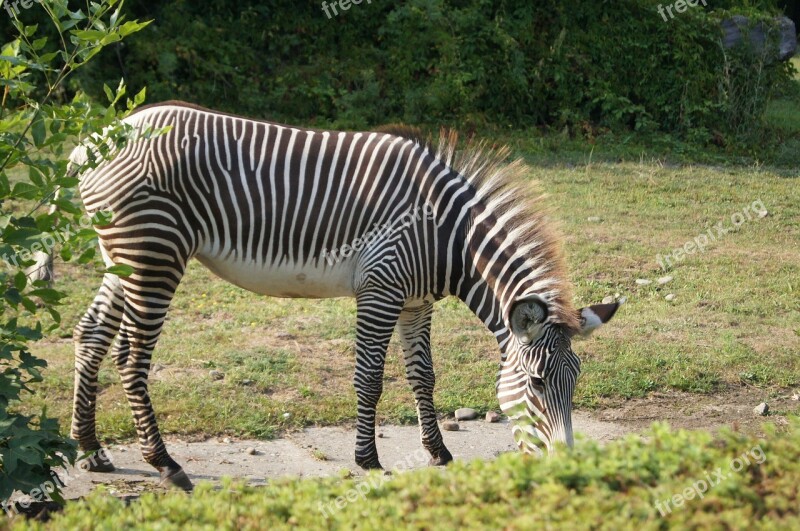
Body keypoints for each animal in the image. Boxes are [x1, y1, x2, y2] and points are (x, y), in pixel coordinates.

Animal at [48, 103, 620, 490]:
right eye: (538, 382)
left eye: (576, 382)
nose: (567, 467)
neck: (447, 235)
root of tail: (89, 144)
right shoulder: (381, 289)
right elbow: (370, 378)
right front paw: (368, 459)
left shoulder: (416, 302)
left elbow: (423, 377)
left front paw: (438, 451)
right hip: (153, 253)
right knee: (130, 356)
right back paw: (165, 464)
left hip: (121, 255)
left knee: (91, 333)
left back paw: (91, 449)